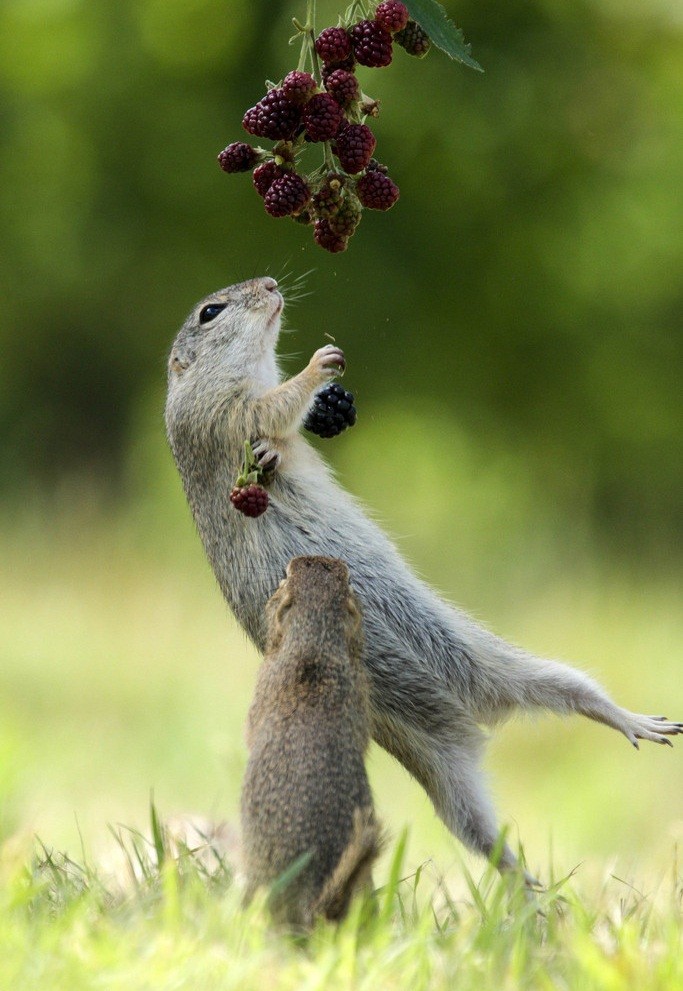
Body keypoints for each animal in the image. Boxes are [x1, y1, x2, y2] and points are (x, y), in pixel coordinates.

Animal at [166, 274, 683, 884]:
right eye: (211, 312)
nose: (270, 282)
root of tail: (478, 719)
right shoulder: (222, 413)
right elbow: (272, 408)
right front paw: (317, 368)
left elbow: (283, 432)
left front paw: (312, 415)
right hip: (443, 772)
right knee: (491, 832)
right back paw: (536, 877)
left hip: (509, 670)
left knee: (580, 697)